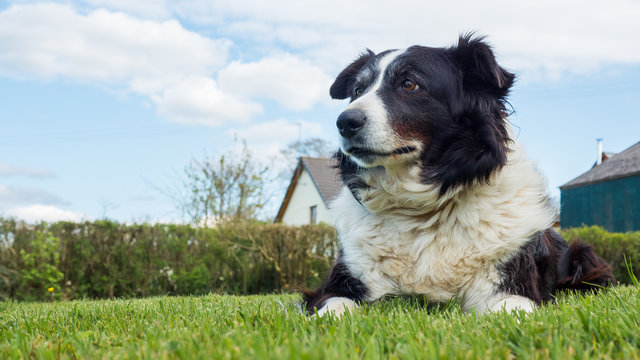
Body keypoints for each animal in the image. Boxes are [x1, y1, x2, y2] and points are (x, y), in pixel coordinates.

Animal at [304, 33, 616, 316]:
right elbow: (336, 308)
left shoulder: (511, 285)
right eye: (358, 90)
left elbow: (511, 312)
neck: (423, 211)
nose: (344, 122)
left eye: (409, 84)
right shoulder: (340, 283)